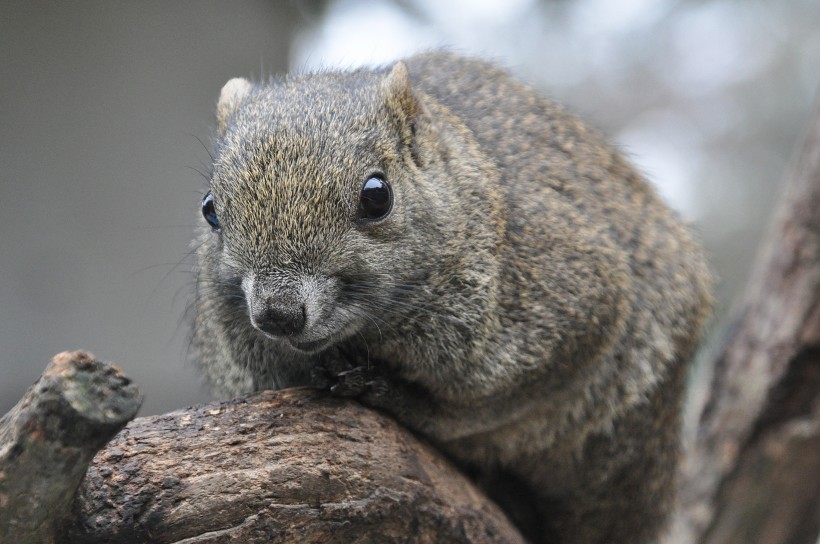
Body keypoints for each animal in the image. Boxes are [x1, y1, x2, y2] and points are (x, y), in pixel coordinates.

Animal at [191, 50, 712, 540]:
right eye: (210, 209)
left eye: (377, 195)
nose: (278, 313)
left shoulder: (583, 300)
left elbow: (480, 410)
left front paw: (399, 397)